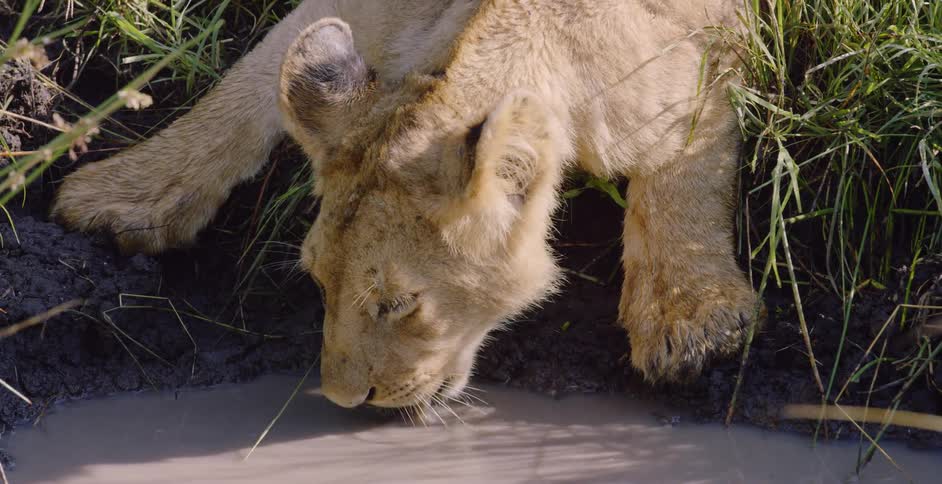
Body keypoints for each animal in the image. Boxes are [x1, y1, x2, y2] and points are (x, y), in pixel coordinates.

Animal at [53, 0, 759, 409]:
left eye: (398, 304)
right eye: (317, 282)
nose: (343, 400)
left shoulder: (715, 44)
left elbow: (687, 168)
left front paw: (689, 314)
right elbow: (254, 75)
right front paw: (128, 192)